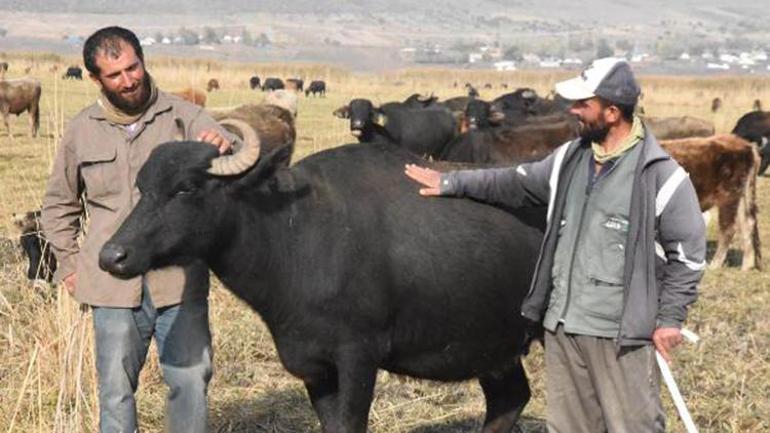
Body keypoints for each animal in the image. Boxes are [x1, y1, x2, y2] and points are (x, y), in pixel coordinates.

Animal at [99, 120, 544, 432]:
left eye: (187, 188)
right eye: (142, 187)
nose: (112, 255)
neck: (294, 236)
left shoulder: (358, 356)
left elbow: (350, 424)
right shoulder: (313, 366)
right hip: (496, 347)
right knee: (509, 401)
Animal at [656, 135, 760, 270]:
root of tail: (746, 145)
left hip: (728, 197)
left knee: (728, 229)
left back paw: (715, 265)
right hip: (741, 197)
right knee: (748, 225)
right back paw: (746, 266)